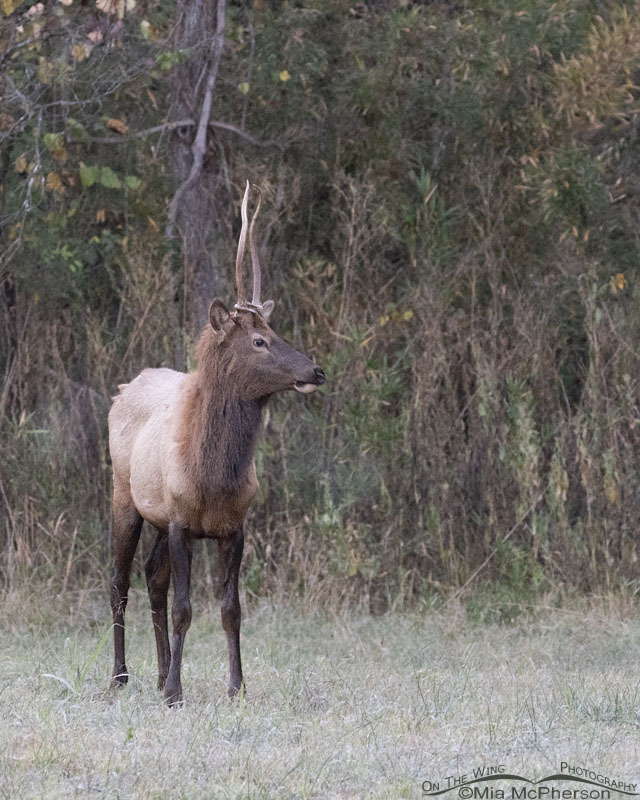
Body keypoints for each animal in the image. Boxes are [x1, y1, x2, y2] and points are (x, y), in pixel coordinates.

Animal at [107, 180, 324, 700]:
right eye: (259, 341)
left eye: (275, 331)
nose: (316, 370)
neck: (213, 476)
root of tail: (124, 387)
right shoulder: (182, 521)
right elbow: (186, 608)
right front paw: (175, 693)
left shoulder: (234, 525)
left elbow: (230, 611)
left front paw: (235, 686)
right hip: (124, 496)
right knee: (120, 581)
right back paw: (121, 676)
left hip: (157, 517)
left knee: (153, 579)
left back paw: (159, 671)